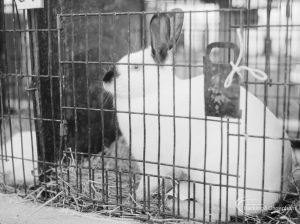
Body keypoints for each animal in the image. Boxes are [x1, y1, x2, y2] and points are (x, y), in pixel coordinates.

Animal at [103, 8, 296, 220]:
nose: (105, 79)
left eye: (136, 67)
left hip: (213, 181)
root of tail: (277, 190)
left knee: (220, 215)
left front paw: (133, 198)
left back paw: (175, 205)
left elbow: (148, 183)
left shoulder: (152, 159)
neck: (154, 92)